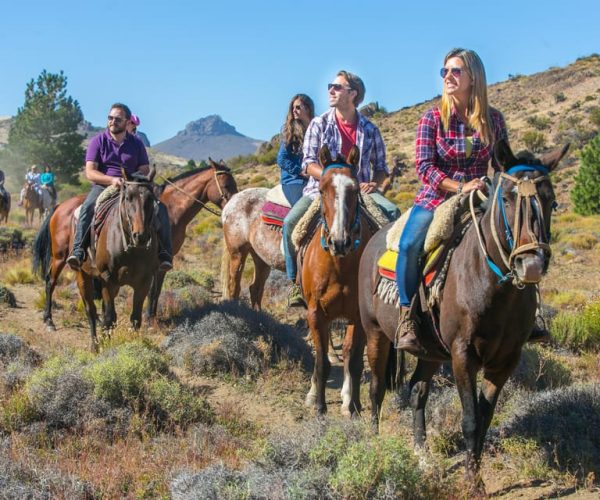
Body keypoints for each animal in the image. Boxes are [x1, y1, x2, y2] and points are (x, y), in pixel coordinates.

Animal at [302, 146, 378, 418]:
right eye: (323, 189)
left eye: (355, 190)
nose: (339, 241)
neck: (339, 265)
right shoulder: (316, 314)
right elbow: (321, 362)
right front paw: (320, 406)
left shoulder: (358, 317)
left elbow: (354, 362)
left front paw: (353, 406)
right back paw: (313, 394)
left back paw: (346, 398)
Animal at [358, 139, 568, 494]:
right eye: (506, 198)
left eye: (550, 200)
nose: (531, 264)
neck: (494, 288)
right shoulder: (462, 354)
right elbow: (470, 420)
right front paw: (473, 485)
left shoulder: (506, 360)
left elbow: (484, 419)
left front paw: (474, 474)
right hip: (376, 334)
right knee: (376, 389)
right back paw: (374, 447)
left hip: (429, 350)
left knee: (417, 391)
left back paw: (423, 456)